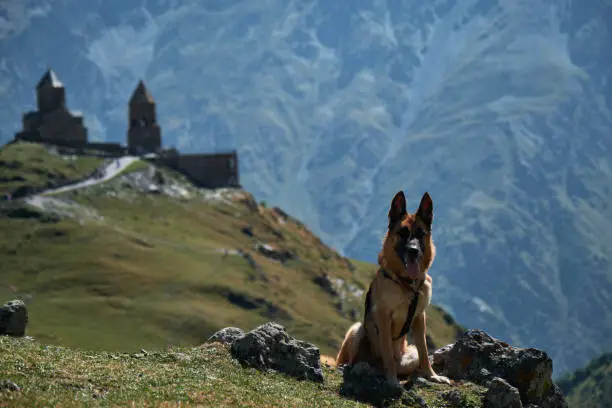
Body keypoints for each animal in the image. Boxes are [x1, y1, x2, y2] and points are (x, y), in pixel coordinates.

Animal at [334, 190, 450, 388]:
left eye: (421, 234)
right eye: (403, 233)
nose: (413, 251)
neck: (406, 283)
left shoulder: (420, 317)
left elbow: (425, 351)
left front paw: (432, 375)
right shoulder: (383, 317)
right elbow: (387, 352)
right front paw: (392, 381)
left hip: (410, 355)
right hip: (358, 329)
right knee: (355, 361)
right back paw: (364, 368)